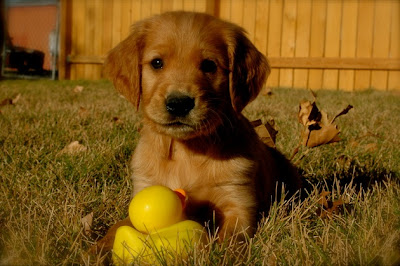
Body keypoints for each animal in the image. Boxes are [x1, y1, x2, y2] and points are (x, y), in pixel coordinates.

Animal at [99, 11, 300, 249]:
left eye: (209, 65)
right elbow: (116, 228)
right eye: (157, 63)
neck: (187, 150)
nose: (179, 103)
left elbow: (231, 241)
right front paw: (94, 250)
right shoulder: (146, 186)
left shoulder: (237, 203)